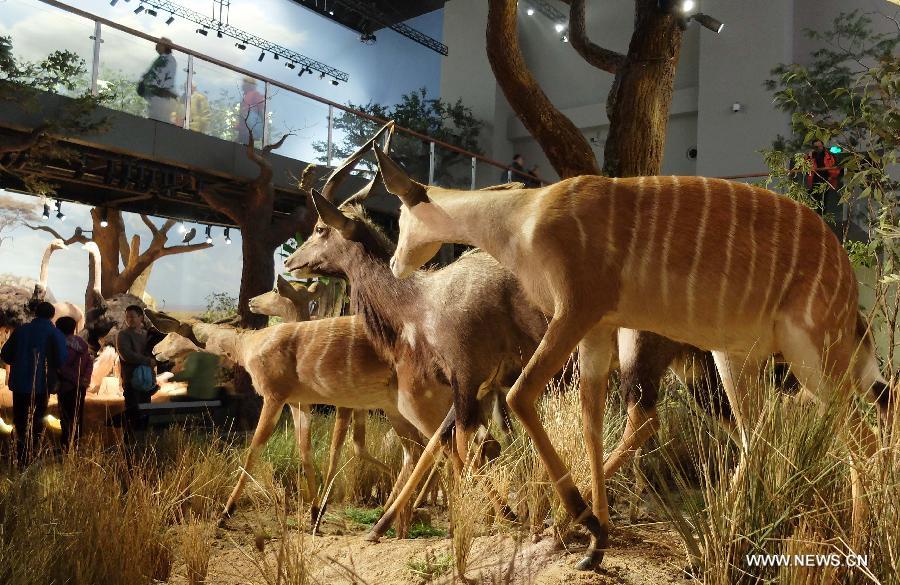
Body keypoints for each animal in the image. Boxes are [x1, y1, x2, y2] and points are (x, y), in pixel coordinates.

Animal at [145, 310, 454, 532]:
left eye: (170, 331)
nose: (155, 351)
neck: (248, 346)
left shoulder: (274, 395)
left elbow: (253, 451)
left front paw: (224, 514)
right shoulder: (298, 402)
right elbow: (305, 452)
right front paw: (314, 516)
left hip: (418, 402)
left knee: (446, 445)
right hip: (395, 407)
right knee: (418, 449)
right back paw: (397, 520)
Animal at [374, 143, 892, 572]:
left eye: (398, 217)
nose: (395, 264)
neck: (522, 218)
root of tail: (848, 284)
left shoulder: (575, 311)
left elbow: (523, 397)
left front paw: (586, 522)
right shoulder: (597, 329)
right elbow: (590, 423)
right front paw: (594, 544)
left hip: (814, 355)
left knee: (862, 437)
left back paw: (861, 546)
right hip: (740, 359)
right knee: (762, 436)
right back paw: (717, 544)